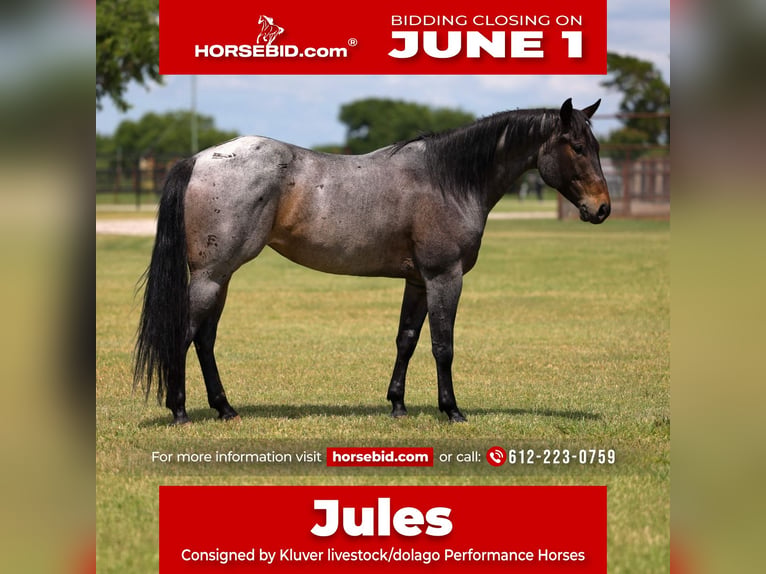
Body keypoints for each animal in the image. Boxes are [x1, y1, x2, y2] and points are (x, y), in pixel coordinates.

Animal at [134, 98, 610, 425]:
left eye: (595, 146)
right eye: (577, 146)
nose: (602, 209)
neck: (447, 179)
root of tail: (198, 159)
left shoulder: (418, 282)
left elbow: (407, 339)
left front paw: (397, 404)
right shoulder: (445, 277)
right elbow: (443, 345)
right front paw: (451, 410)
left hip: (221, 277)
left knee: (205, 339)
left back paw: (225, 408)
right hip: (212, 276)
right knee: (186, 335)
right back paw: (180, 411)